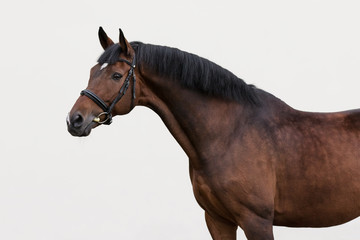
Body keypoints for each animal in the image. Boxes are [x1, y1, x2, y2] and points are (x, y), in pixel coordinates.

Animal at [67, 27, 360, 239]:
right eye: (92, 71)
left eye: (116, 76)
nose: (75, 120)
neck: (229, 134)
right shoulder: (217, 219)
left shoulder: (257, 221)